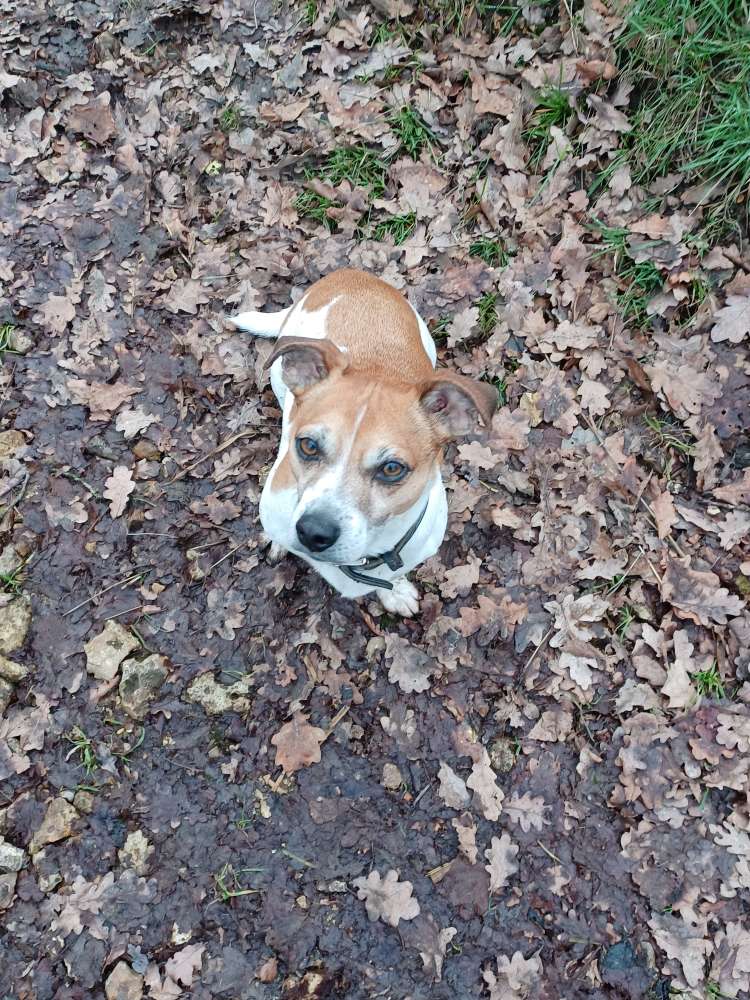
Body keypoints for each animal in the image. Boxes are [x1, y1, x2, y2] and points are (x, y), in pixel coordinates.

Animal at [231, 272, 500, 616]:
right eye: (308, 446)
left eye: (392, 468)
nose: (313, 532)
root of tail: (353, 273)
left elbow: (393, 576)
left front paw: (395, 591)